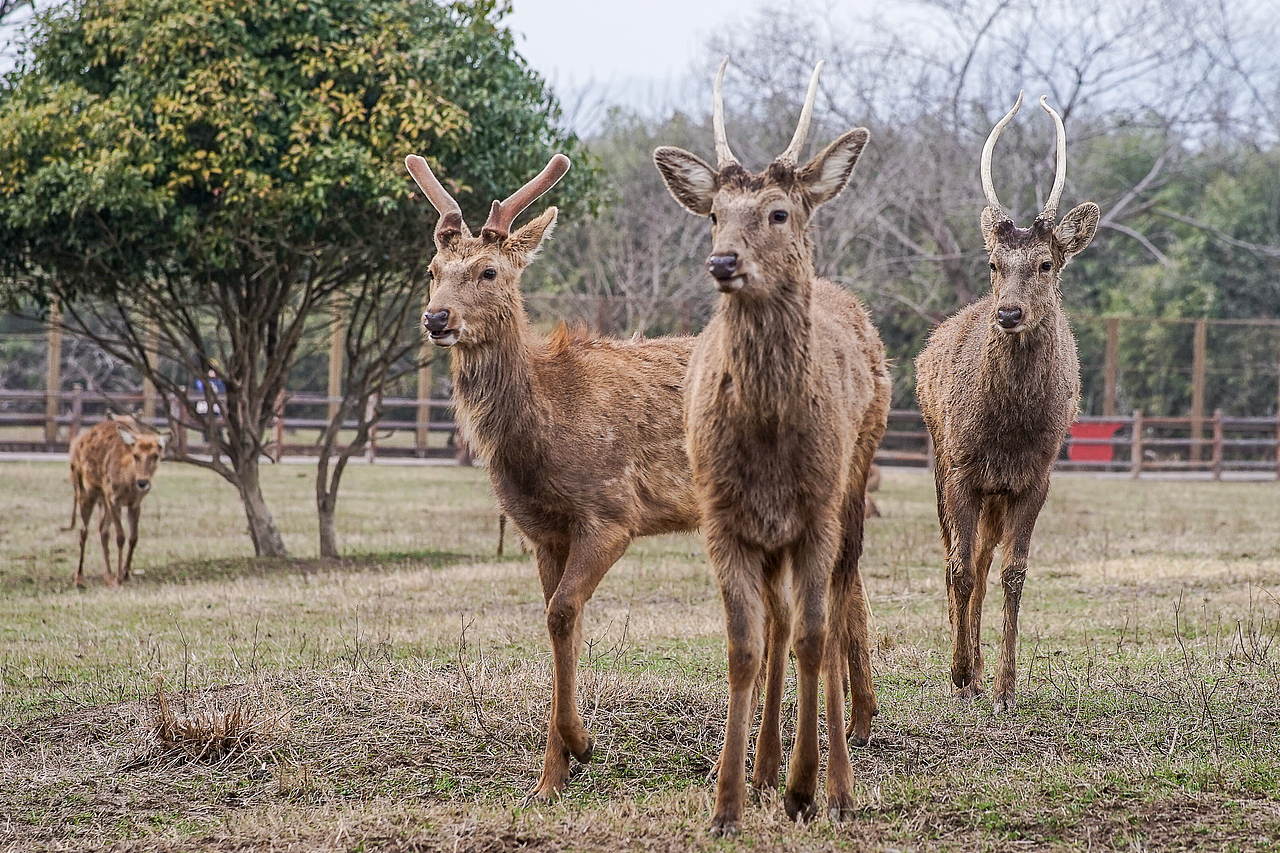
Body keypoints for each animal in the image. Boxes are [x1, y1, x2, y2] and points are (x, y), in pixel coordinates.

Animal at [68, 412, 169, 588]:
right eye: (136, 455)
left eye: (156, 455)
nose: (142, 482)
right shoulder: (113, 498)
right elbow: (120, 536)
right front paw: (119, 577)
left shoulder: (135, 503)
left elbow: (134, 537)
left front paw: (126, 573)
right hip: (84, 491)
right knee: (83, 530)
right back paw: (79, 578)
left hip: (102, 500)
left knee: (102, 529)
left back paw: (107, 576)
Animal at [404, 152, 703, 802]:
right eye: (433, 270)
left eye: (489, 271)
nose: (436, 317)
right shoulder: (541, 532)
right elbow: (559, 623)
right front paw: (550, 778)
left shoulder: (613, 513)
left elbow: (563, 612)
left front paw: (584, 746)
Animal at [654, 58, 890, 835]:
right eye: (715, 212)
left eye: (778, 213)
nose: (722, 260)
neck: (767, 439)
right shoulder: (723, 518)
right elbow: (744, 647)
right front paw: (727, 801)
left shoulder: (816, 514)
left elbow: (819, 637)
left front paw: (813, 788)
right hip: (772, 536)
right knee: (781, 623)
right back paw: (762, 771)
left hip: (855, 488)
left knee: (836, 610)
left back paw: (833, 771)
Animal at [915, 92, 1099, 714]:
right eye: (994, 263)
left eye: (1045, 263)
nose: (1010, 313)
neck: (1009, 430)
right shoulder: (962, 471)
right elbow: (958, 567)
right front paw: (961, 672)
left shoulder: (1034, 477)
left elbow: (1014, 572)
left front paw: (1004, 684)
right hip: (938, 462)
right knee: (957, 556)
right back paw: (961, 667)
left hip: (995, 494)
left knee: (984, 556)